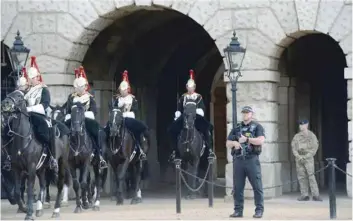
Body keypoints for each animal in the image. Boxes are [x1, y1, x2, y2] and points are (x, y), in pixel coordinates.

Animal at [1, 90, 70, 220]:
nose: (5, 103)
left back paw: (56, 210)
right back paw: (39, 208)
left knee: (59, 184)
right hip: (42, 168)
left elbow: (28, 190)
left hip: (62, 163)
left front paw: (28, 214)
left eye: (20, 96)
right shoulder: (16, 169)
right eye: (10, 93)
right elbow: (17, 191)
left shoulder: (31, 167)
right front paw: (24, 208)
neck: (23, 139)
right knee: (43, 184)